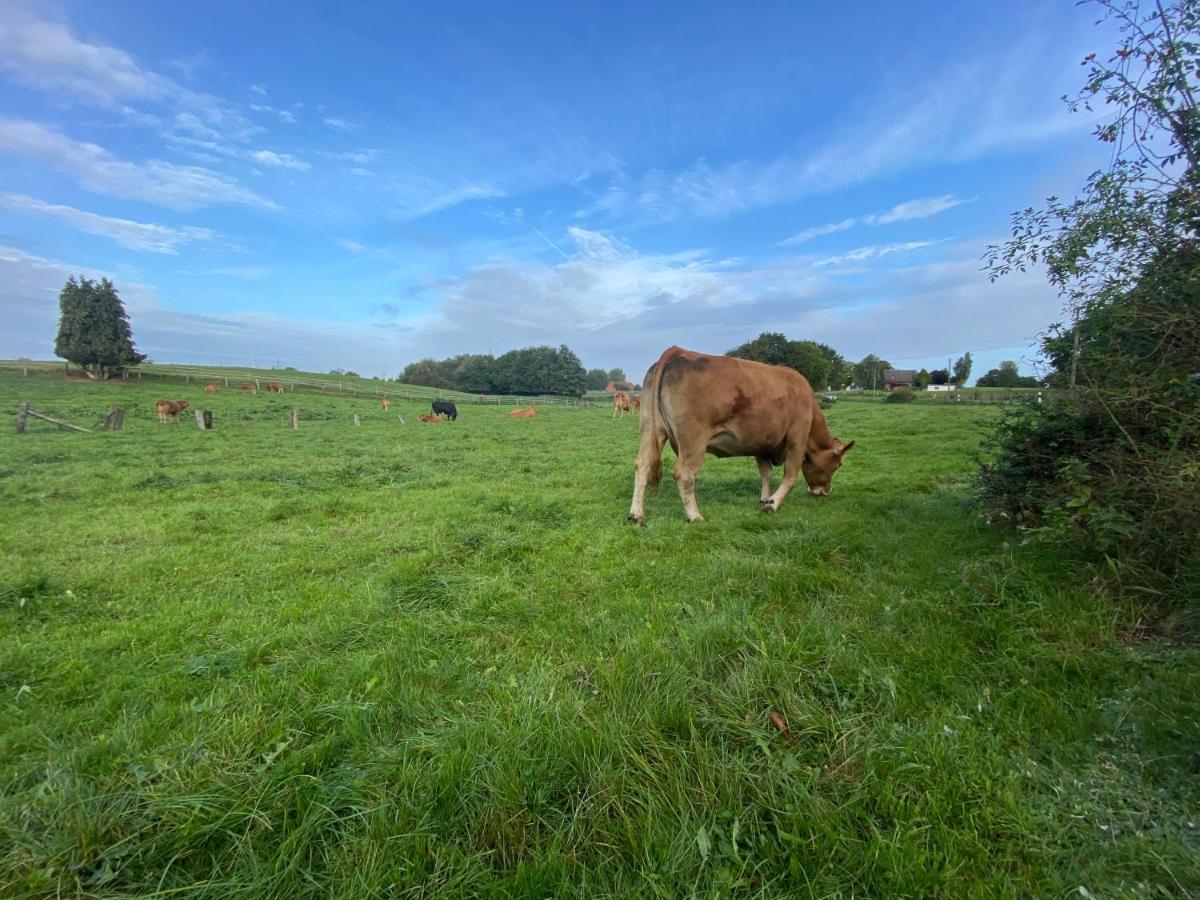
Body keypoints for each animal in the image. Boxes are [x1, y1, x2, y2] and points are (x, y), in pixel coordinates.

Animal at [628, 348, 854, 528]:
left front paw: (765, 499)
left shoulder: (761, 444)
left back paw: (636, 515)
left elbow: (766, 472)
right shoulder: (797, 438)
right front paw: (772, 505)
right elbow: (790, 476)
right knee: (684, 474)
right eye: (839, 464)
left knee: (642, 465)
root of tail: (677, 351)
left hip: (651, 429)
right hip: (693, 440)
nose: (824, 491)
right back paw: (695, 516)